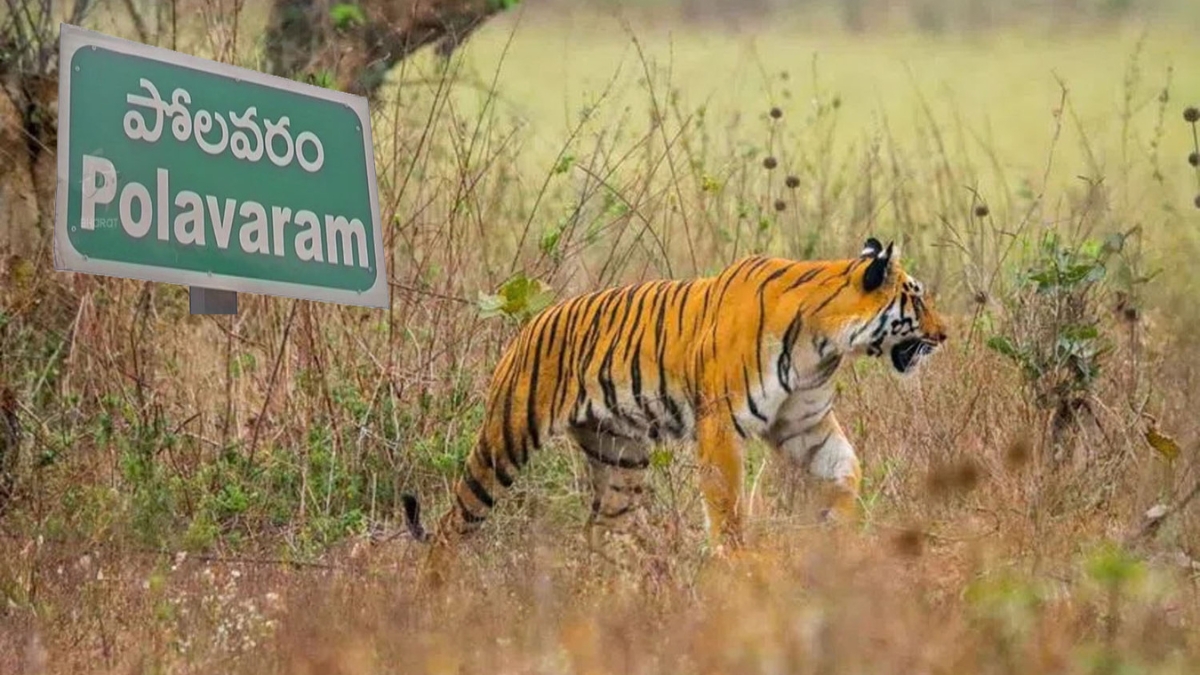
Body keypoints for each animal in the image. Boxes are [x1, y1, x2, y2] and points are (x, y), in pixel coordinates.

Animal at [400, 237, 948, 573]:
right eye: (917, 299)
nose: (946, 334)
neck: (826, 343)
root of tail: (531, 322)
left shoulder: (804, 423)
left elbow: (845, 469)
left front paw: (842, 528)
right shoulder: (721, 423)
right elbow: (726, 501)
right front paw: (736, 560)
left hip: (620, 454)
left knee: (602, 529)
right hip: (506, 440)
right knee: (454, 522)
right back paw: (435, 593)